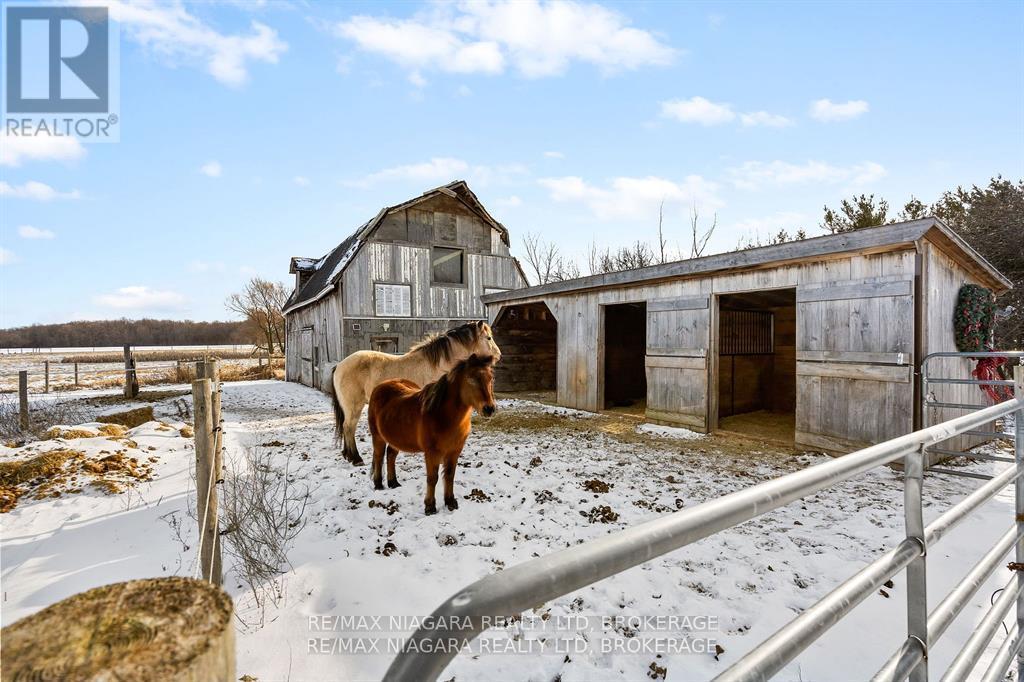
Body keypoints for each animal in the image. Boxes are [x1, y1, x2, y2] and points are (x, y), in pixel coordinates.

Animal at [329, 321, 501, 464]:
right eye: (489, 338)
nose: (499, 355)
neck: (438, 365)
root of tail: (340, 365)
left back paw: (348, 456)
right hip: (354, 406)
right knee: (348, 427)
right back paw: (356, 458)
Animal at [368, 352, 495, 512]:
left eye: (491, 378)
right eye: (471, 379)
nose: (489, 409)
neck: (442, 415)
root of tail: (381, 386)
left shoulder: (454, 451)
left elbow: (449, 476)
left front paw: (450, 502)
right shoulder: (432, 453)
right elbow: (432, 478)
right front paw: (430, 506)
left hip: (395, 438)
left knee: (391, 455)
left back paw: (393, 483)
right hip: (378, 436)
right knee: (379, 456)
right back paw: (379, 484)